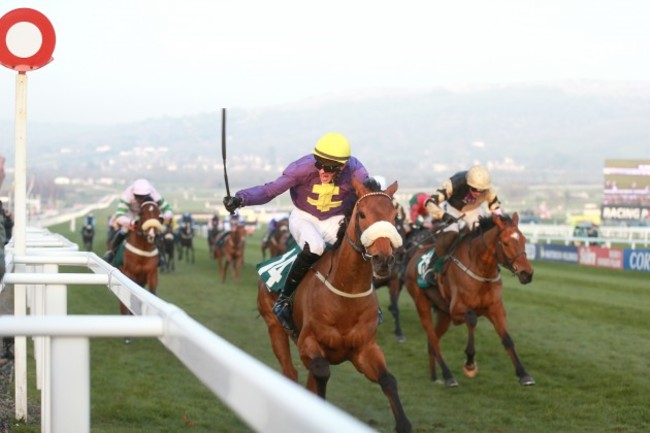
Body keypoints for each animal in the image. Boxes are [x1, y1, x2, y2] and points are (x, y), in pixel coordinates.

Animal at [254, 178, 410, 432]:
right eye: (362, 214)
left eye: (394, 215)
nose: (384, 260)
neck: (346, 295)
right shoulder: (308, 343)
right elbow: (321, 372)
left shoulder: (365, 349)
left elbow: (388, 380)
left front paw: (403, 423)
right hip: (274, 326)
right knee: (290, 372)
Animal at [404, 211, 532, 386]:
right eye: (505, 243)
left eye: (524, 240)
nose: (527, 274)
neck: (481, 271)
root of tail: (415, 253)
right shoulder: (457, 310)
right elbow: (472, 319)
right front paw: (470, 364)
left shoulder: (496, 308)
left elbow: (507, 339)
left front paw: (523, 374)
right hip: (421, 303)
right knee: (433, 340)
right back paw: (448, 375)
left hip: (444, 314)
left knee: (433, 341)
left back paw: (434, 376)